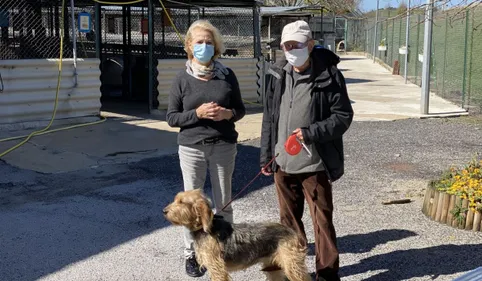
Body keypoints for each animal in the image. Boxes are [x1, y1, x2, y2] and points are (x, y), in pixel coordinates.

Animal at [164, 188, 310, 280]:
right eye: (176, 199)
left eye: (181, 202)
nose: (164, 211)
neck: (204, 230)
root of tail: (292, 231)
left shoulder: (217, 269)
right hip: (273, 266)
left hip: (292, 266)